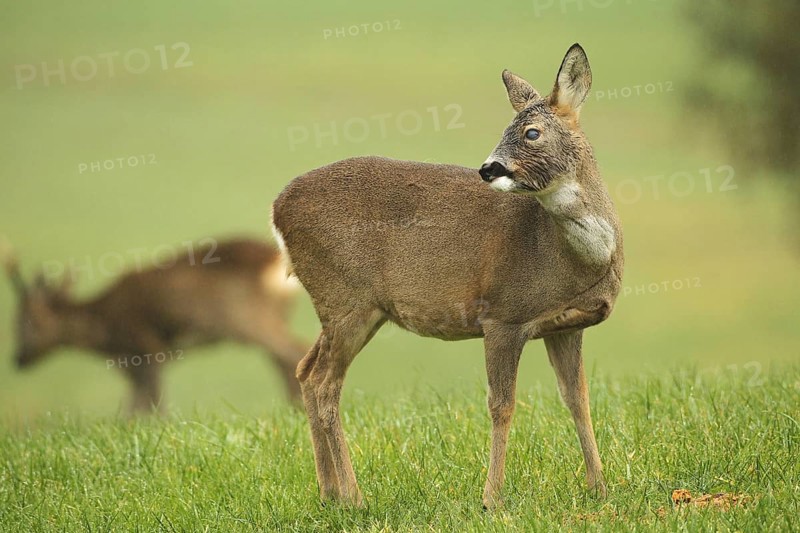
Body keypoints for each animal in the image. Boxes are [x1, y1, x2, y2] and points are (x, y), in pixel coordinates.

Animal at [1, 237, 308, 413]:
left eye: (23, 321)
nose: (18, 359)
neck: (105, 328)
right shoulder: (133, 362)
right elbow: (135, 404)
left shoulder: (145, 347)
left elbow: (149, 403)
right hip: (271, 318)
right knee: (283, 359)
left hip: (248, 318)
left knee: (292, 351)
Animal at [271, 43, 624, 508]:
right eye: (506, 128)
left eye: (531, 132)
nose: (489, 169)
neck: (573, 258)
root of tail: (277, 209)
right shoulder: (503, 314)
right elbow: (502, 405)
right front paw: (492, 498)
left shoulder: (566, 325)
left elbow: (578, 398)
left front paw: (599, 488)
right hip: (345, 297)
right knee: (325, 382)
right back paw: (354, 497)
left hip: (355, 309)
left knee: (305, 371)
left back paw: (329, 493)